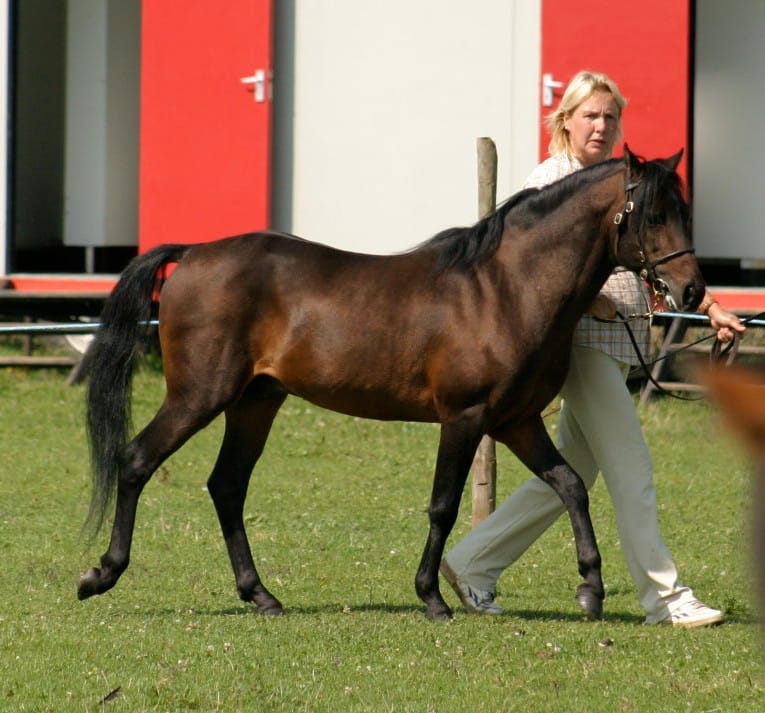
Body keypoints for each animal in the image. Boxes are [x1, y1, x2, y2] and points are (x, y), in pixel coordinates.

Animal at [77, 146, 705, 621]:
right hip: (198, 397)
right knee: (135, 460)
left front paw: (590, 589)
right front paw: (432, 598)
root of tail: (193, 254)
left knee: (227, 487)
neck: (507, 288)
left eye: (683, 210)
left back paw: (262, 595)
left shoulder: (516, 422)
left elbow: (570, 484)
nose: (693, 289)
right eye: (653, 215)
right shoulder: (465, 418)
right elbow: (443, 506)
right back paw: (101, 573)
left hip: (255, 403)